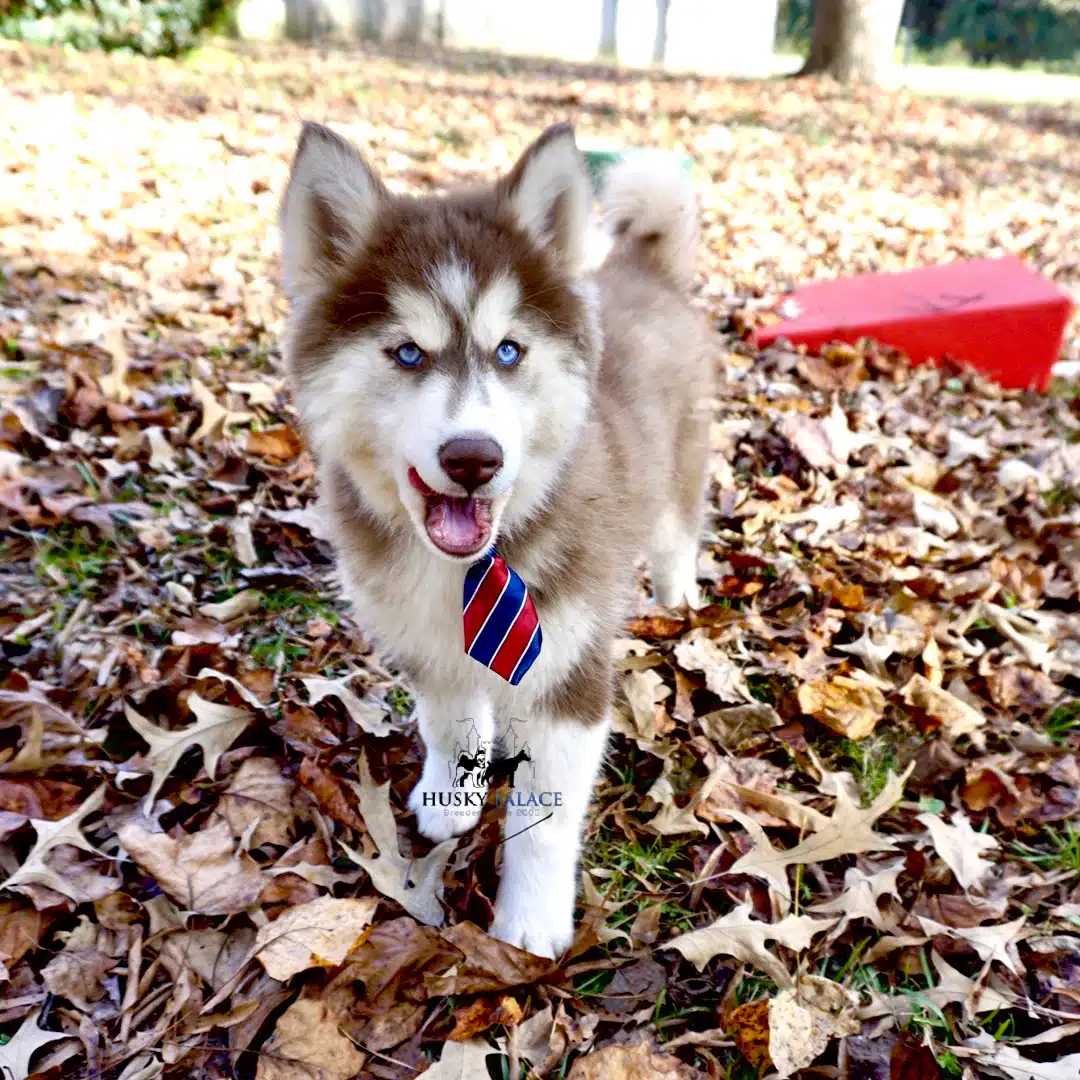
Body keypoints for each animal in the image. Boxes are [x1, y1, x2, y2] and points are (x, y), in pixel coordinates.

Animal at [282, 122, 712, 959]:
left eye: (509, 351)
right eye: (407, 353)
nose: (473, 458)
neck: (471, 564)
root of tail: (643, 268)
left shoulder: (569, 673)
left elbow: (543, 821)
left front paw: (530, 923)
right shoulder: (423, 640)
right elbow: (448, 721)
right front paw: (452, 797)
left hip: (681, 475)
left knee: (678, 541)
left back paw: (678, 608)